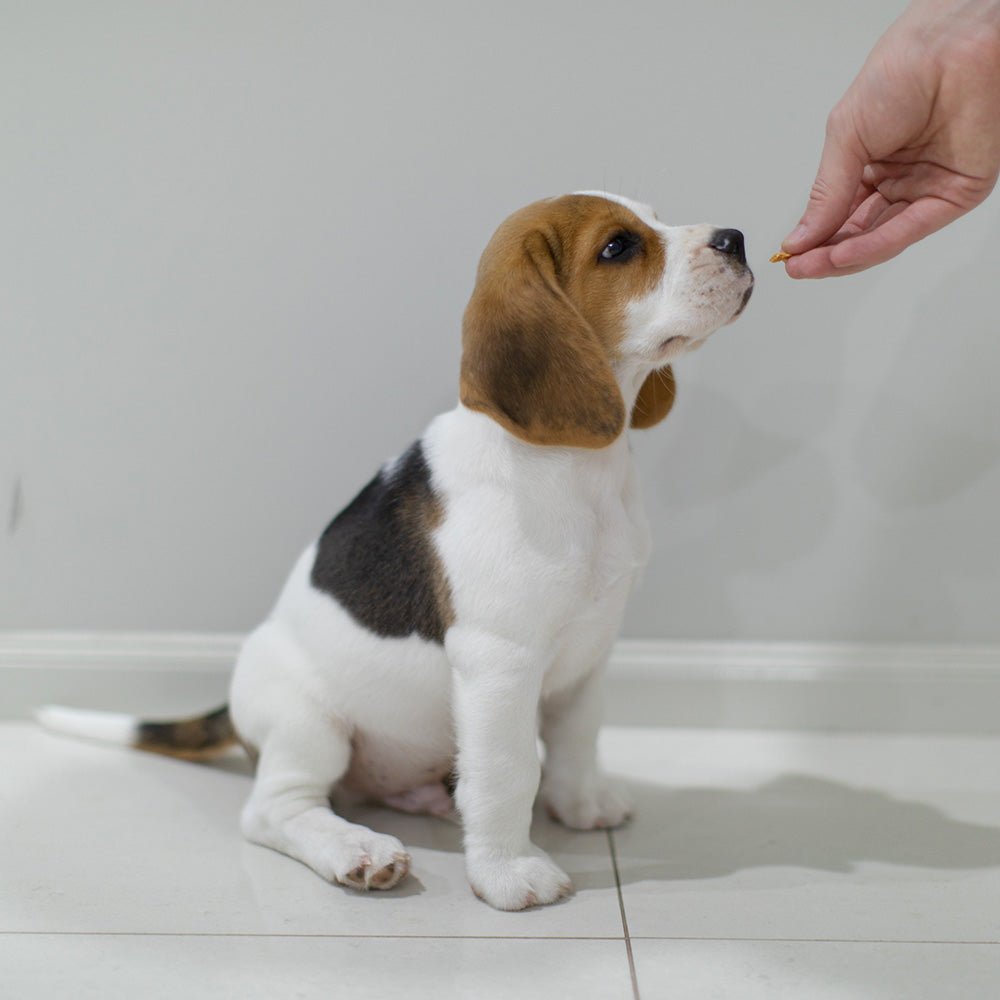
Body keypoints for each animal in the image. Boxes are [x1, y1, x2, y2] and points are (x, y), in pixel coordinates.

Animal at [43, 191, 752, 912]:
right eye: (618, 247)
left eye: (654, 219)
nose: (736, 238)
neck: (576, 466)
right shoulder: (500, 662)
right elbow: (508, 771)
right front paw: (510, 872)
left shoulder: (591, 650)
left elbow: (577, 737)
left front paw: (580, 803)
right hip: (308, 723)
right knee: (274, 809)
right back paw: (356, 851)